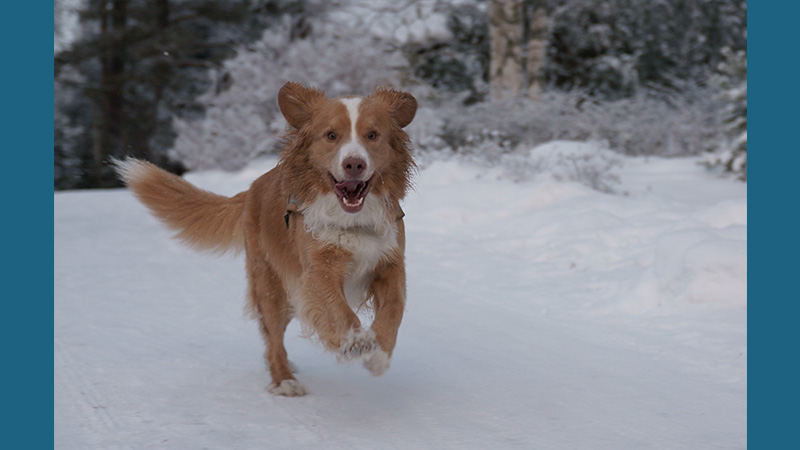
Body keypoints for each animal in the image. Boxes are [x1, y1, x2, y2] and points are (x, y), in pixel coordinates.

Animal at [114, 82, 418, 396]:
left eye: (373, 135)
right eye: (331, 135)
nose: (354, 164)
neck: (353, 221)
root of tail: (252, 188)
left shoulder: (389, 263)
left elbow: (394, 308)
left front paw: (379, 355)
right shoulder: (317, 271)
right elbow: (337, 310)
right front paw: (356, 342)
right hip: (271, 287)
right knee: (272, 339)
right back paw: (284, 378)